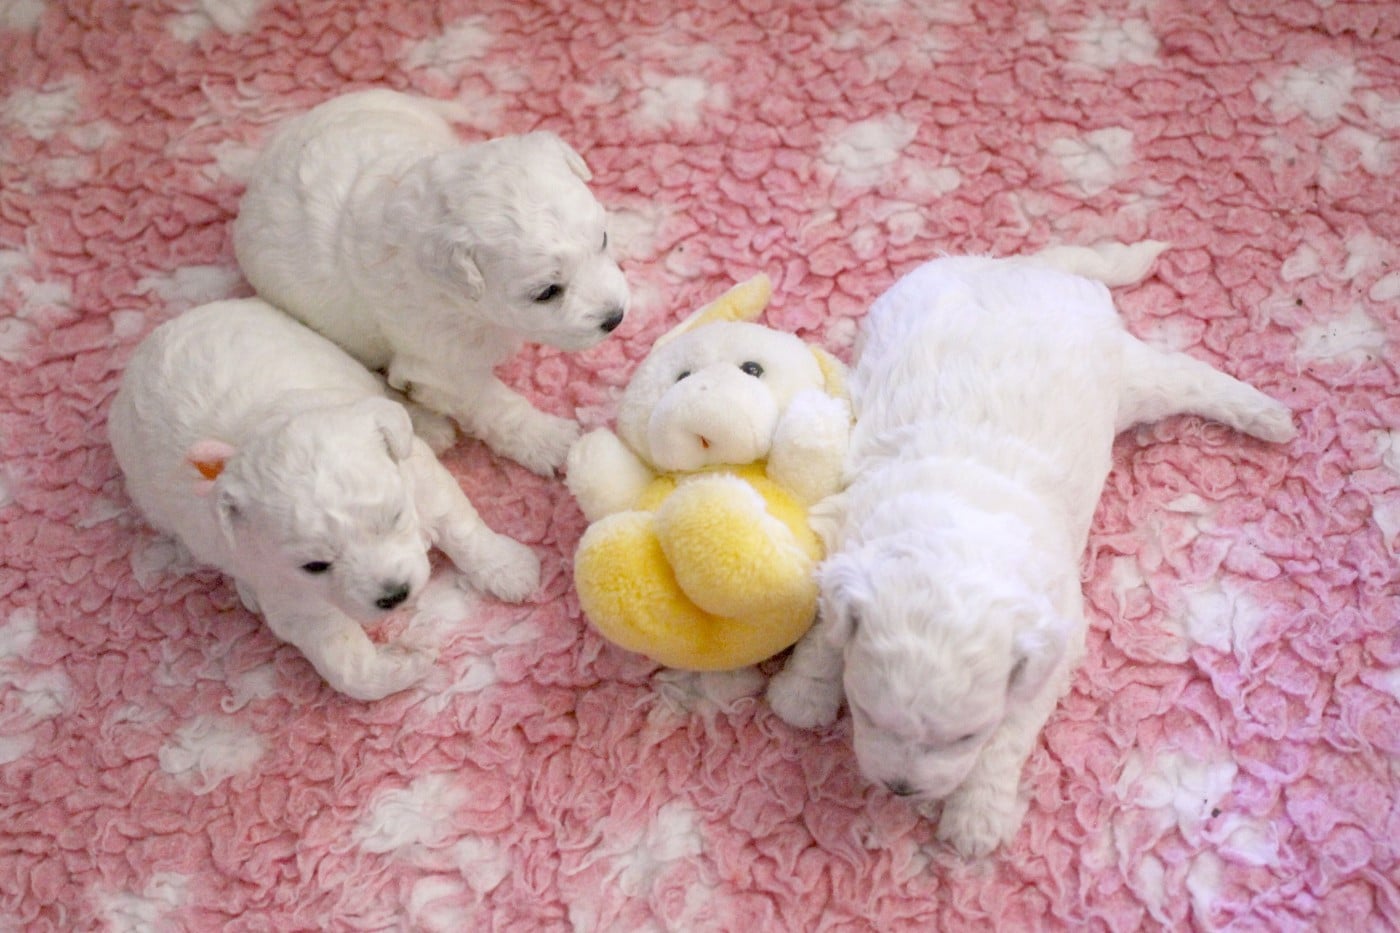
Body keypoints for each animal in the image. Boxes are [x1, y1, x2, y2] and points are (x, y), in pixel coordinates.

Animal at [107, 298, 541, 701]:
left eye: (394, 518)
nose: (395, 595)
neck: (257, 425)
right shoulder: (287, 586)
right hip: (150, 497)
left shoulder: (419, 479)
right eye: (316, 565)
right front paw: (405, 662)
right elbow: (342, 659)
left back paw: (425, 424)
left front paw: (509, 569)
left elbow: (458, 523)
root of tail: (157, 337)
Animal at [232, 89, 630, 474]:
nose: (615, 318)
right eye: (547, 292)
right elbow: (490, 402)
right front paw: (549, 441)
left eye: (603, 240)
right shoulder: (440, 360)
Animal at [766, 246, 1296, 857]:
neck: (959, 534)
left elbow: (1012, 730)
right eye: (866, 713)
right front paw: (803, 693)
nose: (900, 789)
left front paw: (976, 819)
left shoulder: (1056, 640)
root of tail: (1024, 268)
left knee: (1187, 378)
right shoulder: (846, 538)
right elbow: (827, 629)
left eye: (967, 735)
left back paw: (1267, 414)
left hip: (1129, 376)